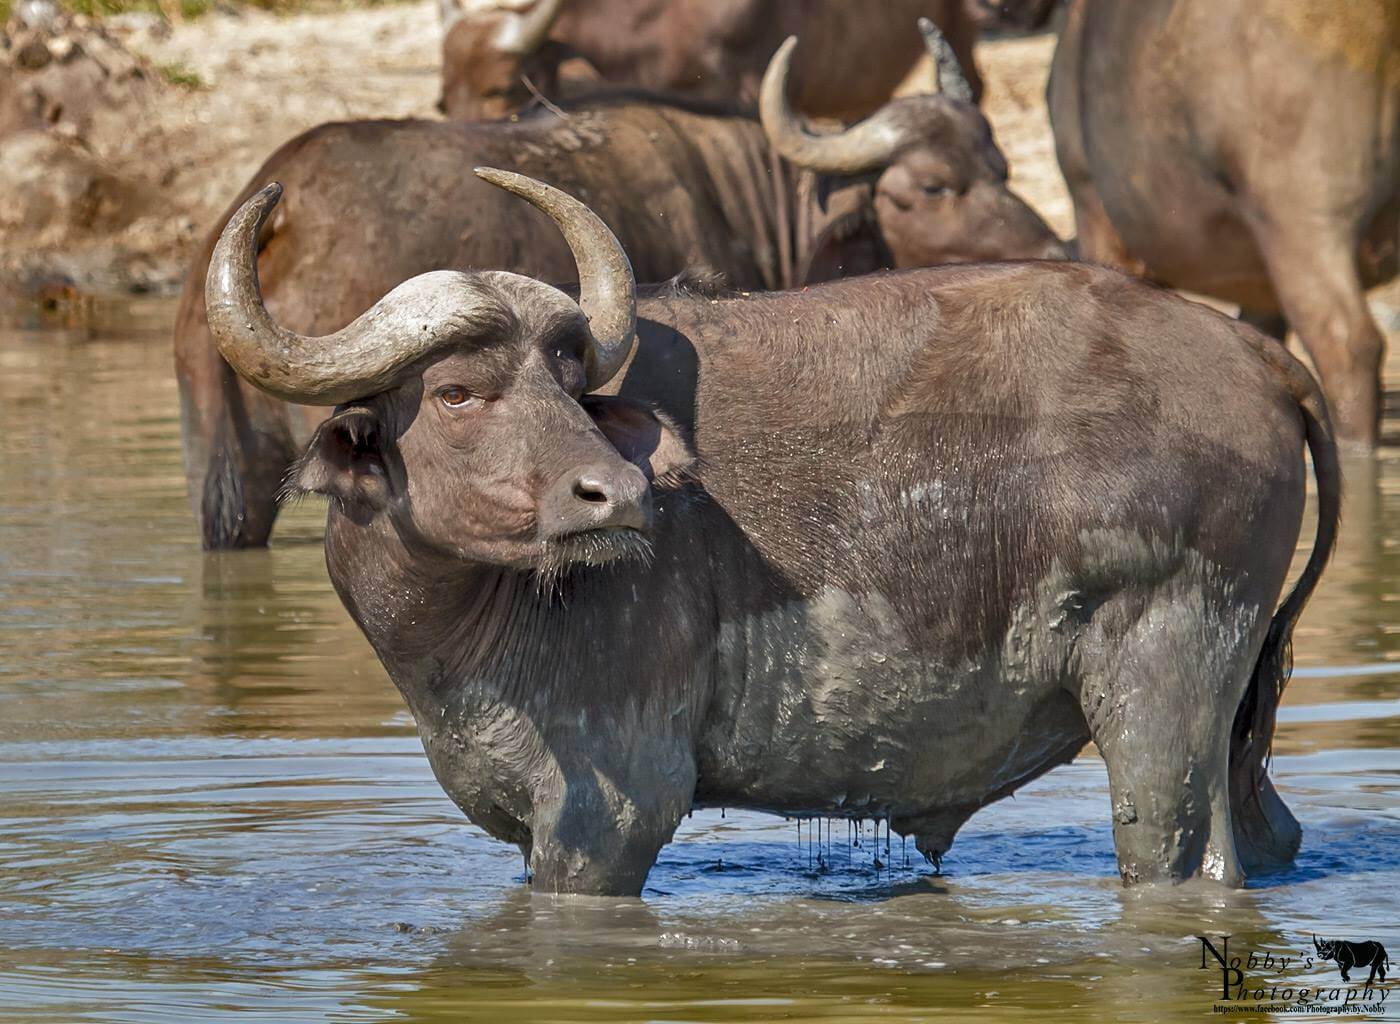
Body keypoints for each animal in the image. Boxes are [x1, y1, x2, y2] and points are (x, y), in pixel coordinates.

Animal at [202, 170, 1337, 895]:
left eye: (566, 381)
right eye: (456, 391)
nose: (618, 493)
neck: (465, 625)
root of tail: (1249, 349)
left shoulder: (609, 819)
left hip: (1162, 688)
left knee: (1178, 853)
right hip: (1230, 717)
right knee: (1263, 832)